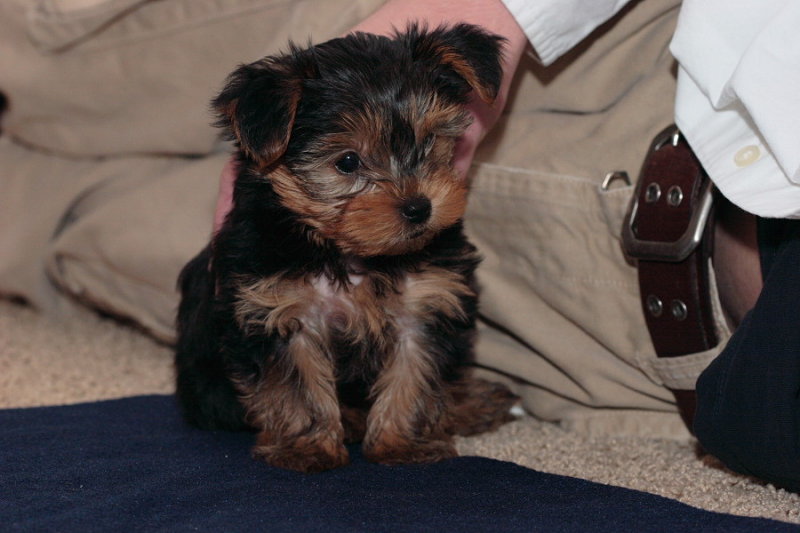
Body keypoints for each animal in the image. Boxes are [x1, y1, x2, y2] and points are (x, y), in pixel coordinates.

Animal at [175, 22, 516, 472]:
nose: (419, 207)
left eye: (429, 140)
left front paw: (402, 443)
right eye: (348, 162)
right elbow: (297, 388)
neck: (349, 253)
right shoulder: (279, 310)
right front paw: (308, 448)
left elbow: (414, 373)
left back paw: (469, 402)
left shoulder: (425, 304)